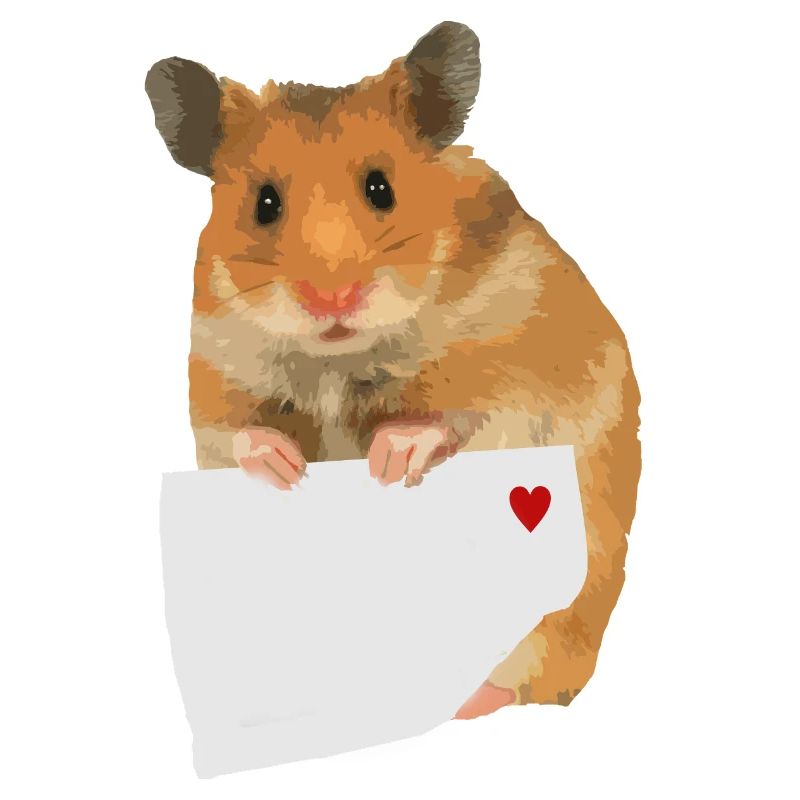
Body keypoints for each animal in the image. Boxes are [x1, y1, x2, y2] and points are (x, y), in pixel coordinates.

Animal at [145, 21, 641, 718]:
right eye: (264, 203)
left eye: (382, 188)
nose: (331, 299)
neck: (340, 357)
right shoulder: (214, 375)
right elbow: (239, 435)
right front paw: (288, 469)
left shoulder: (524, 372)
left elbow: (459, 418)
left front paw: (387, 457)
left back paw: (466, 701)